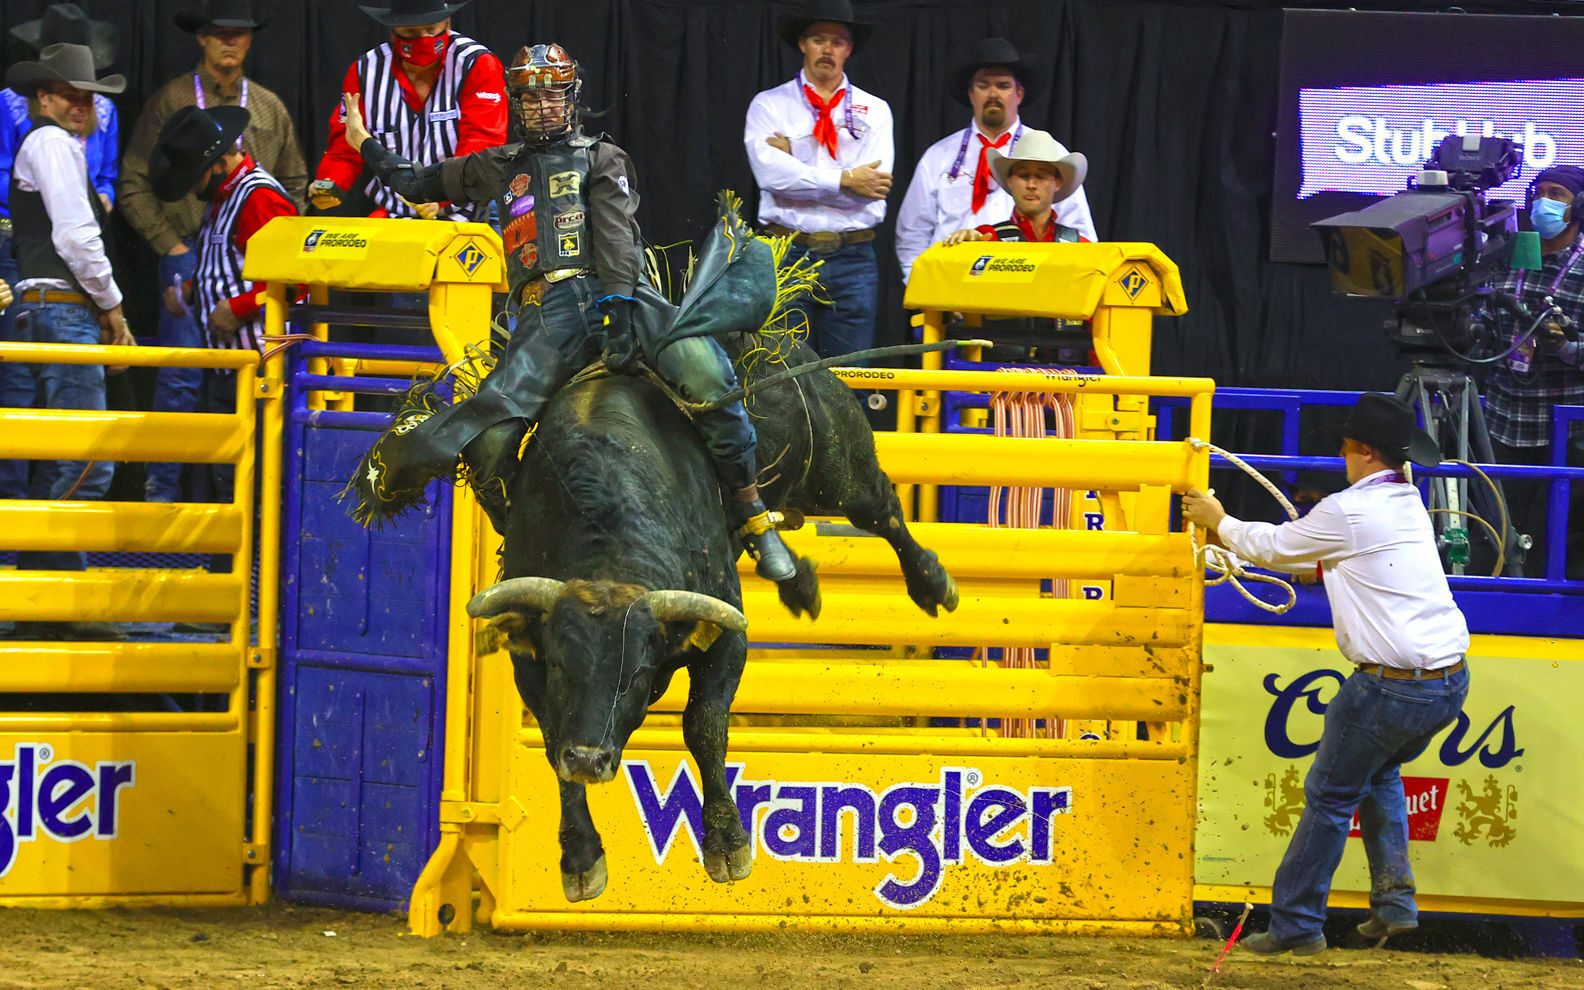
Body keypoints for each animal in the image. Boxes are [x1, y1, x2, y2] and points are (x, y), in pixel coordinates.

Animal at [462, 335, 956, 899]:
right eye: (563, 666)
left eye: (636, 673)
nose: (588, 759)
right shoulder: (531, 664)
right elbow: (550, 739)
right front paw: (581, 858)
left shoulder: (726, 637)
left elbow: (703, 725)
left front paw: (727, 845)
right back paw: (798, 582)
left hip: (838, 470)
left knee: (885, 510)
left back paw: (932, 582)